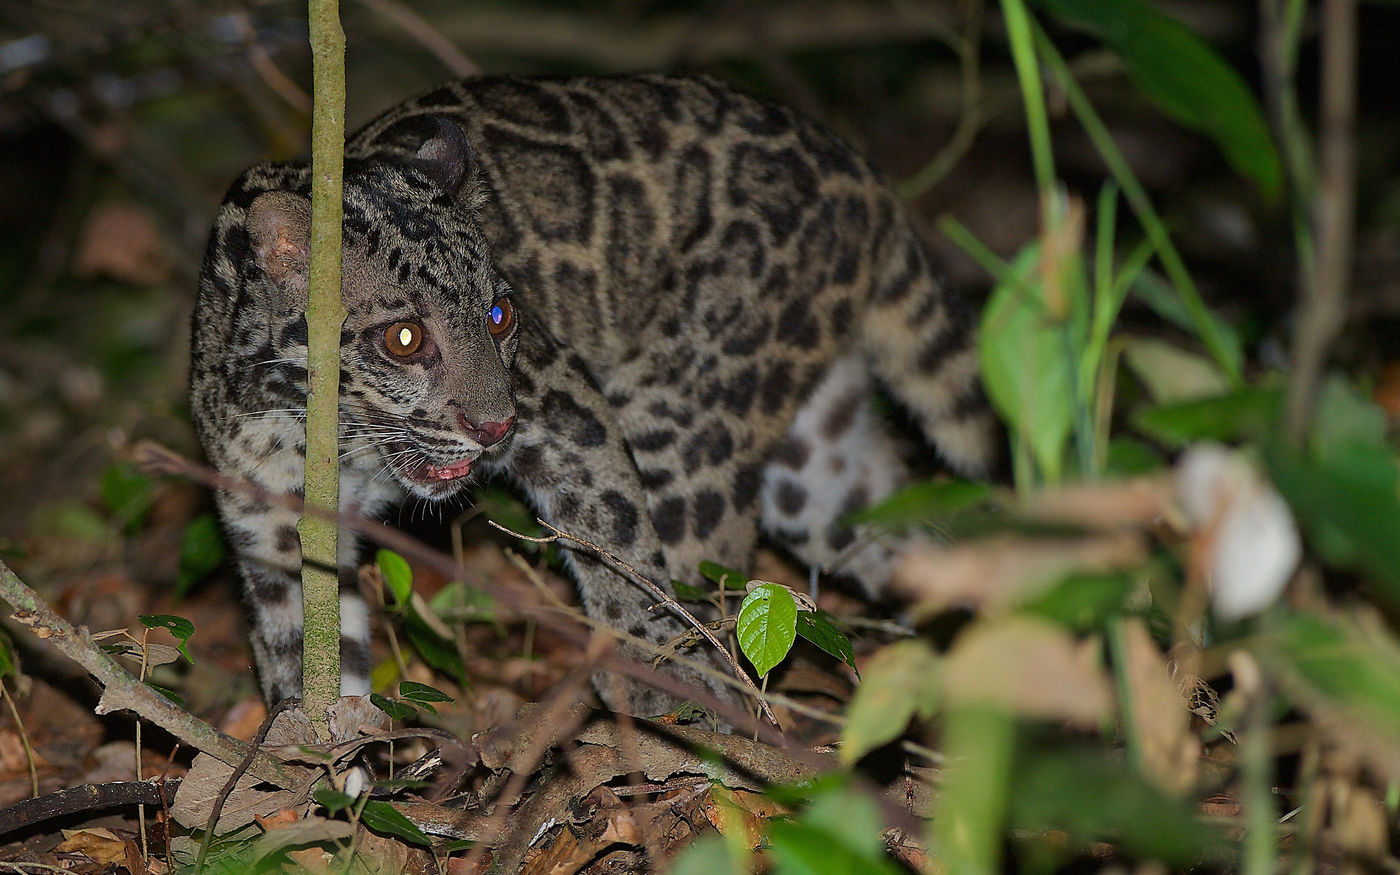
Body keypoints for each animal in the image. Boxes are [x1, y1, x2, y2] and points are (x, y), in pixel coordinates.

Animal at [189, 73, 996, 716]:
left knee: (695, 557)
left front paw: (649, 664)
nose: (495, 428)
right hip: (815, 472)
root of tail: (862, 174)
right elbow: (308, 661)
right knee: (914, 539)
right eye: (406, 338)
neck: (314, 429)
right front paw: (310, 774)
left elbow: (617, 537)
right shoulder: (272, 534)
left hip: (681, 419)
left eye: (500, 314)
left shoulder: (563, 404)